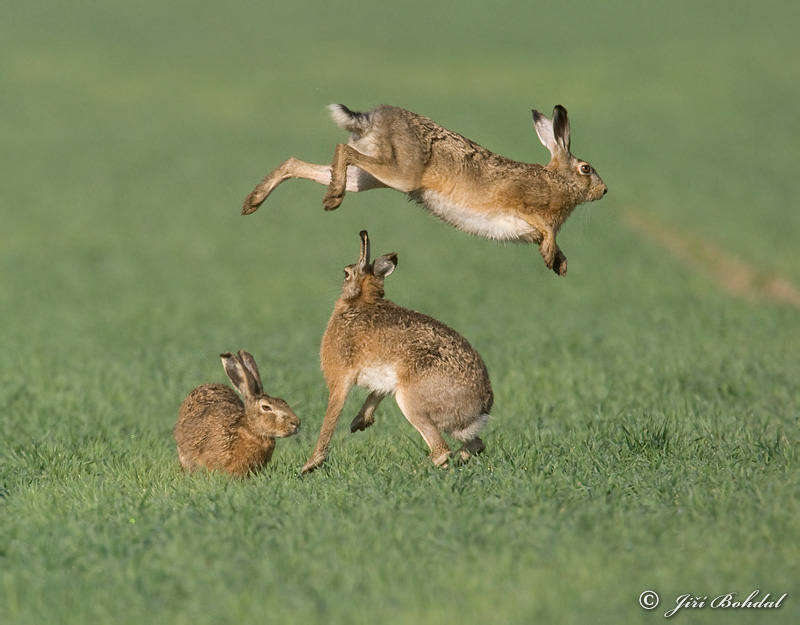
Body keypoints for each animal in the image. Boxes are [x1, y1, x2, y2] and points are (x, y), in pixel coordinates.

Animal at [243, 103, 607, 276]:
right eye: (586, 169)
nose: (603, 191)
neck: (558, 180)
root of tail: (372, 118)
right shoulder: (523, 206)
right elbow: (546, 229)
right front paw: (551, 257)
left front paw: (560, 265)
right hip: (401, 173)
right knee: (341, 150)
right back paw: (332, 199)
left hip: (370, 176)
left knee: (301, 163)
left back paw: (253, 202)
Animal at [301, 230, 493, 474]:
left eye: (346, 273)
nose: (342, 276)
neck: (362, 301)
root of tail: (481, 408)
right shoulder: (383, 379)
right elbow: (374, 395)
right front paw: (359, 423)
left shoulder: (339, 380)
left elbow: (331, 418)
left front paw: (310, 465)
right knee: (476, 444)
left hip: (411, 401)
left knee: (441, 451)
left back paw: (409, 471)